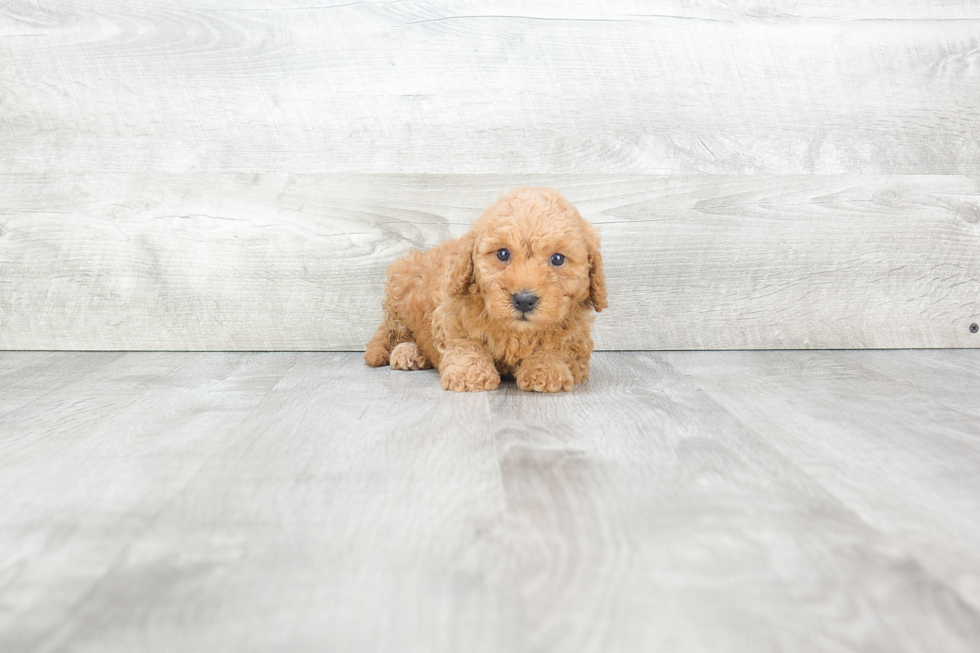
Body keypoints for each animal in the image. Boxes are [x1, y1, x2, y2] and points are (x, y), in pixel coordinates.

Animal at [364, 186, 604, 390]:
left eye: (557, 259)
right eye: (503, 253)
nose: (524, 300)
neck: (517, 330)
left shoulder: (576, 334)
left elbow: (559, 347)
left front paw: (546, 369)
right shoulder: (452, 313)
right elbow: (466, 343)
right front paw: (469, 374)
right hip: (401, 287)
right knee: (392, 333)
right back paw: (406, 351)